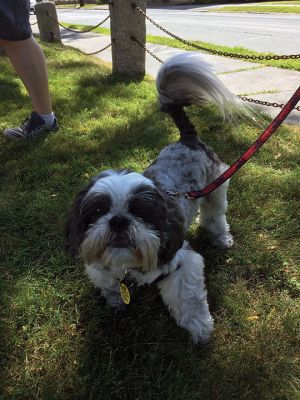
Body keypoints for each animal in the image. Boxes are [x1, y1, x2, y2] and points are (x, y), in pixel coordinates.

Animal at [65, 51, 239, 342]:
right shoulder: (99, 266)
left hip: (216, 185)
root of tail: (187, 139)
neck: (128, 265)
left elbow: (189, 298)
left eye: (142, 213)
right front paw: (115, 302)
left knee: (215, 215)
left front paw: (199, 327)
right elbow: (109, 286)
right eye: (99, 211)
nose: (119, 221)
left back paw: (220, 237)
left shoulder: (182, 261)